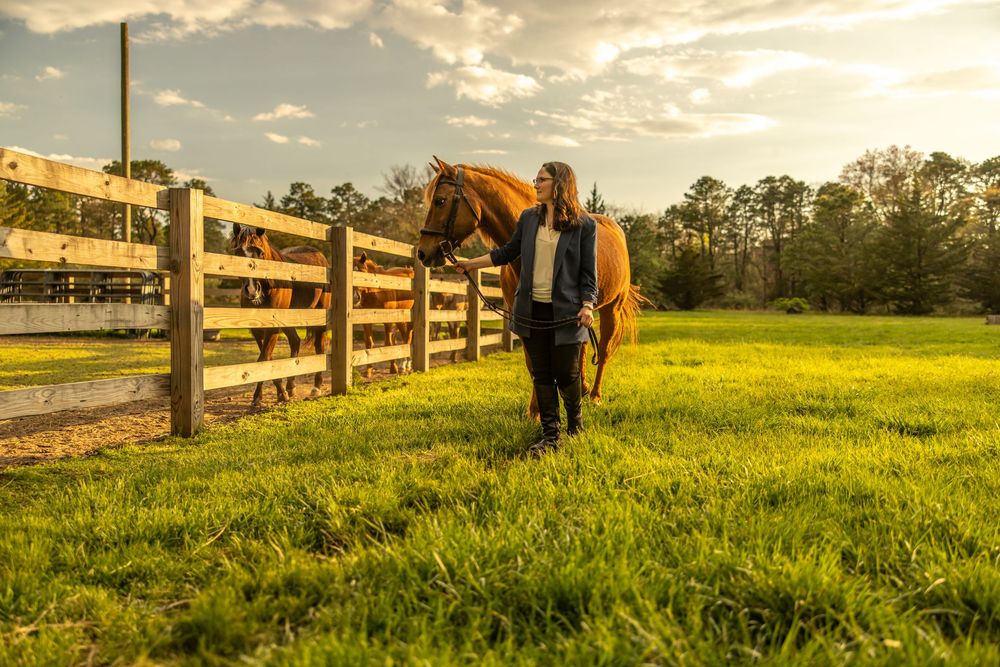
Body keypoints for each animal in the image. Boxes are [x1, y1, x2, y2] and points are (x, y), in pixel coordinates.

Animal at [229, 224, 330, 405]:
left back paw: (316, 387)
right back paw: (291, 386)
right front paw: (277, 392)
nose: (252, 291)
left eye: (261, 252)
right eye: (238, 252)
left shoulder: (273, 326)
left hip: (320, 317)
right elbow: (266, 358)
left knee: (319, 347)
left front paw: (266, 395)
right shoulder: (256, 329)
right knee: (295, 342)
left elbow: (264, 357)